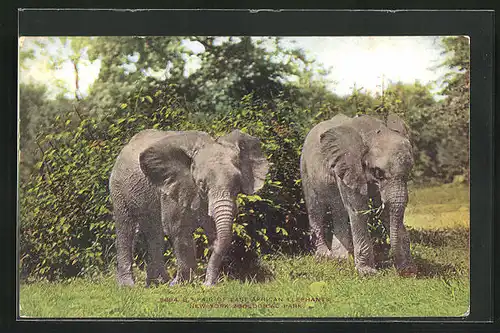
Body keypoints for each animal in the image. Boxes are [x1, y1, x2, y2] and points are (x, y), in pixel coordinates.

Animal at [107, 127, 268, 286]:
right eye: (202, 184)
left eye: (237, 185)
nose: (207, 284)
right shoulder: (173, 189)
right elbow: (177, 229)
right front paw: (180, 284)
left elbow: (214, 231)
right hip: (118, 187)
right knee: (126, 229)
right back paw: (129, 286)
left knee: (154, 232)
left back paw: (157, 283)